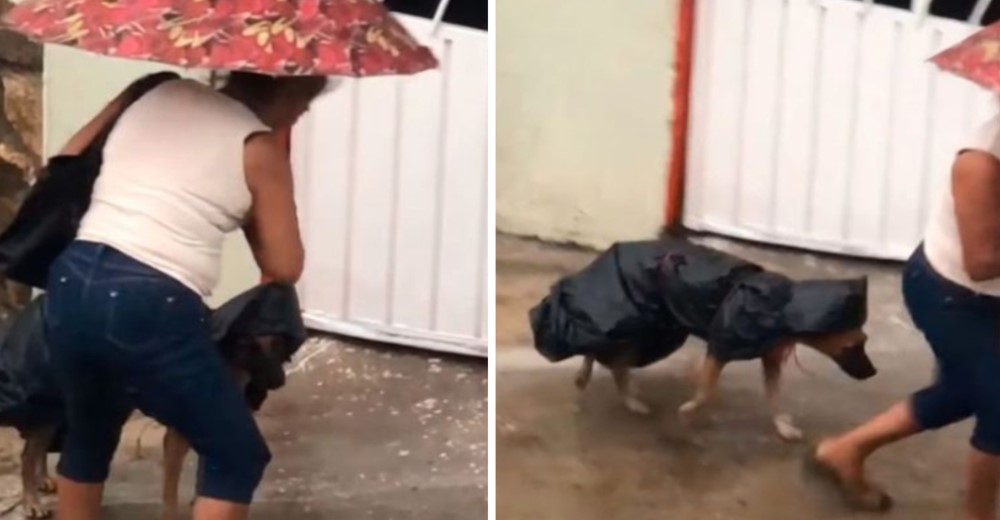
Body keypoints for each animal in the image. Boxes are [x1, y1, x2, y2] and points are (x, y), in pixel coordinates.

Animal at [0, 282, 304, 516]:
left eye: (278, 345)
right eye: (251, 347)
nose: (279, 380)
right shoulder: (176, 440)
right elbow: (170, 493)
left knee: (38, 449)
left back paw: (42, 479)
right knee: (28, 454)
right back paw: (30, 501)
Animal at [532, 238, 876, 440]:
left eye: (864, 340)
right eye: (853, 345)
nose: (872, 373)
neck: (784, 307)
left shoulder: (770, 359)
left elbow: (775, 397)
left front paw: (782, 425)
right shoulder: (720, 348)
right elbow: (706, 390)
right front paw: (689, 411)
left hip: (648, 328)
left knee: (613, 361)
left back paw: (627, 397)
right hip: (634, 320)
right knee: (598, 348)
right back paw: (597, 382)